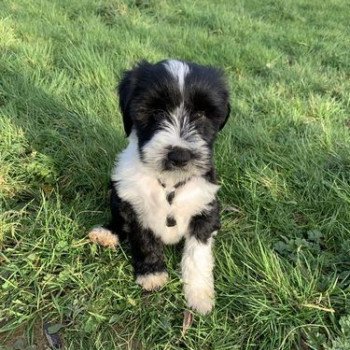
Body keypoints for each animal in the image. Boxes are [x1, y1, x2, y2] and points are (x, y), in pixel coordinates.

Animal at [89, 58, 230, 314]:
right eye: (156, 112)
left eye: (201, 114)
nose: (180, 155)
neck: (170, 184)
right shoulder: (133, 203)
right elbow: (144, 240)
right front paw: (152, 274)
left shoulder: (204, 207)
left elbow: (197, 256)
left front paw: (199, 295)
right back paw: (107, 233)